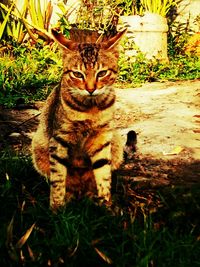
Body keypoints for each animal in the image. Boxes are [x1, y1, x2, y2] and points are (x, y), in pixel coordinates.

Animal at [31, 27, 126, 211]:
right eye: (77, 74)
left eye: (102, 73)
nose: (90, 89)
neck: (91, 109)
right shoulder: (59, 140)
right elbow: (58, 179)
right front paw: (56, 208)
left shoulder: (102, 138)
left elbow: (103, 175)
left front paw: (106, 204)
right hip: (38, 145)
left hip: (116, 141)